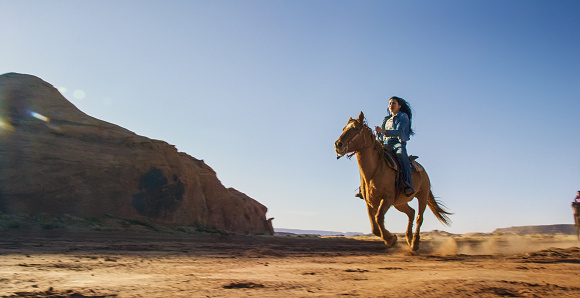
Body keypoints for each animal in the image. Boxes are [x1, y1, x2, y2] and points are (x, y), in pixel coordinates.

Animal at [334, 110, 450, 250]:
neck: (375, 171)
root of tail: (423, 170)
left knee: (419, 217)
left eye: (356, 129)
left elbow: (378, 218)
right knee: (411, 213)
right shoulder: (370, 202)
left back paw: (415, 243)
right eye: (344, 128)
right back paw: (409, 239)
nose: (338, 145)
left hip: (422, 196)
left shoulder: (387, 199)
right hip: (399, 202)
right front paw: (392, 237)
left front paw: (391, 239)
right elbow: (374, 227)